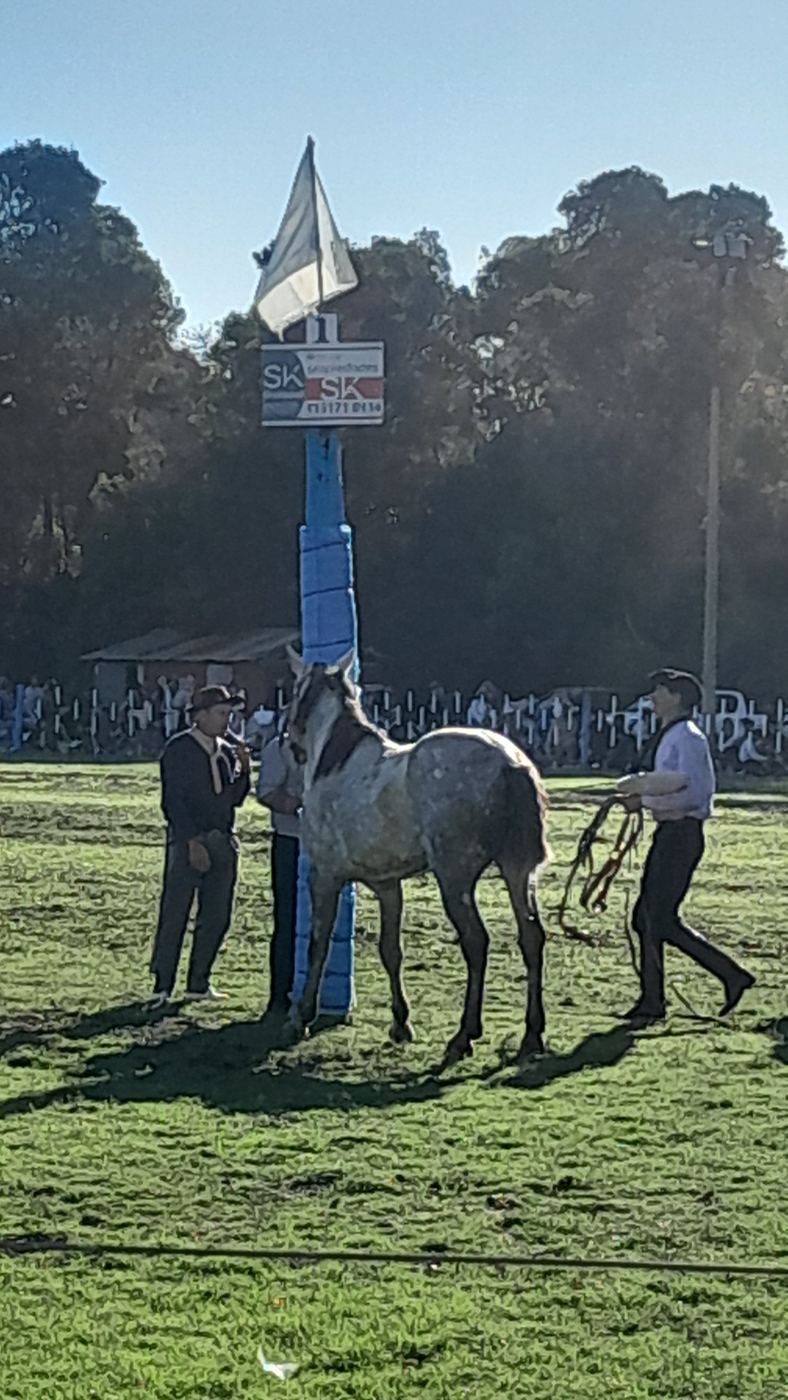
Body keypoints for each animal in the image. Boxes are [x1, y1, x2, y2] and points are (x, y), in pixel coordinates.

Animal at [286, 650, 549, 1064]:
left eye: (295, 692)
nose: (291, 744)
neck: (337, 761)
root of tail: (512, 763)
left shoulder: (324, 876)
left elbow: (318, 945)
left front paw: (302, 1017)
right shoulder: (387, 884)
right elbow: (390, 950)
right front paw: (400, 1023)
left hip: (455, 879)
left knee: (476, 942)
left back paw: (464, 1035)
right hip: (518, 872)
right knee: (532, 938)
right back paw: (532, 1035)